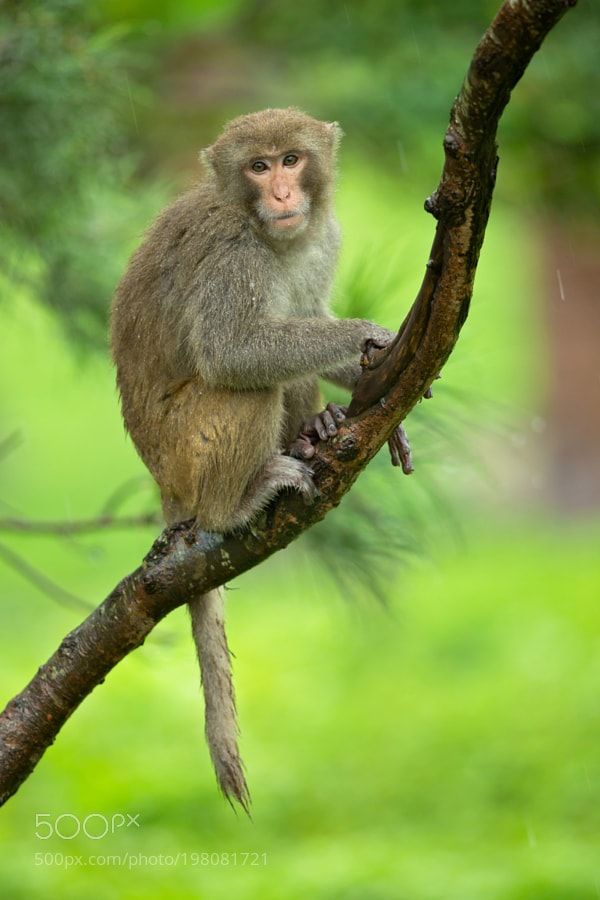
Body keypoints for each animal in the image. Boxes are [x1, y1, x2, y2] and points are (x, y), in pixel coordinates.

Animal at [110, 107, 397, 811]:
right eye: (258, 167)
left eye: (292, 159)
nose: (284, 194)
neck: (271, 235)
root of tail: (163, 482)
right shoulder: (230, 255)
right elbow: (234, 351)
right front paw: (369, 334)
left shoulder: (324, 237)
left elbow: (308, 315)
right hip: (185, 448)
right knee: (250, 380)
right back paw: (237, 502)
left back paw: (314, 430)